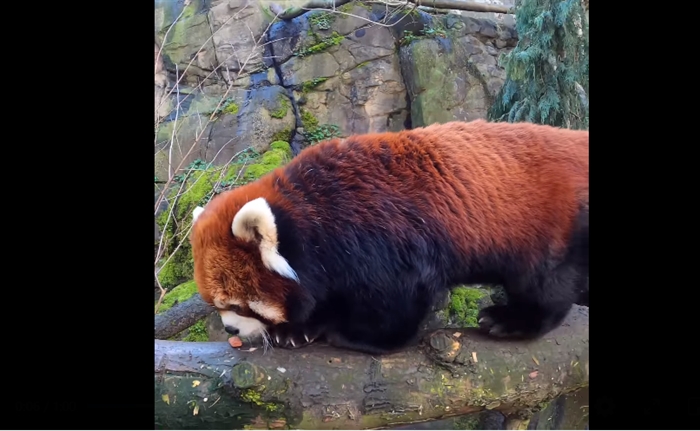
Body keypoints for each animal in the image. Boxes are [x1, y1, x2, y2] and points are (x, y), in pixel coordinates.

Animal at [189, 119, 588, 354]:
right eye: (216, 305)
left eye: (238, 305)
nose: (228, 328)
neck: (314, 216)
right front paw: (299, 328)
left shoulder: (382, 239)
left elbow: (396, 302)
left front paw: (352, 335)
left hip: (548, 226)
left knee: (544, 283)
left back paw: (513, 320)